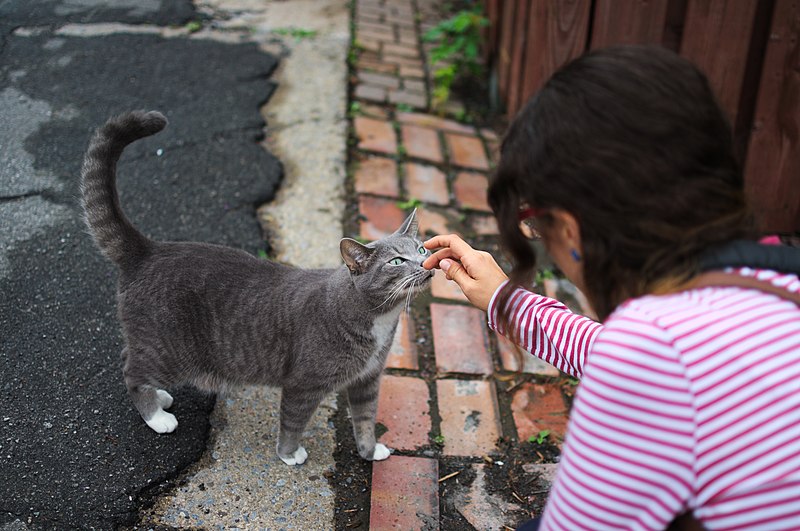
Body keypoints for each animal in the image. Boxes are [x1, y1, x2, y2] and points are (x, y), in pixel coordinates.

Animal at [80, 111, 432, 466]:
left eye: (421, 249)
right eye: (397, 261)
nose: (426, 263)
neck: (379, 319)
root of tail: (148, 249)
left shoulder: (368, 379)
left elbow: (364, 418)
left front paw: (370, 450)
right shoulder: (303, 383)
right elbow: (293, 420)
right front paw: (289, 454)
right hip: (170, 351)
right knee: (131, 369)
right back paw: (157, 416)